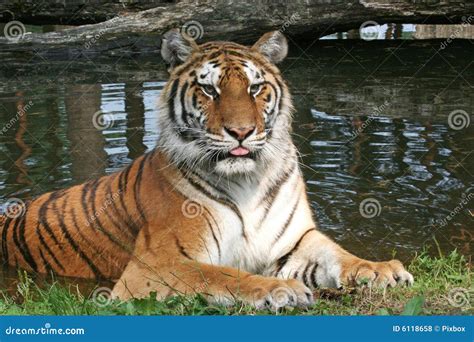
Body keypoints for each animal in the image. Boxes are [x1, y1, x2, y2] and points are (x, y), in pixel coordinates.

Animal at [0, 30, 412, 310]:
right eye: (210, 91)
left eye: (255, 88)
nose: (241, 132)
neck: (247, 180)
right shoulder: (152, 266)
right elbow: (221, 274)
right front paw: (281, 290)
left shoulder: (295, 242)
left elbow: (339, 255)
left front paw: (382, 270)